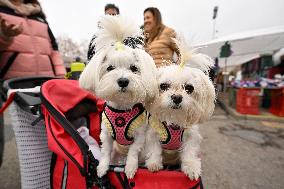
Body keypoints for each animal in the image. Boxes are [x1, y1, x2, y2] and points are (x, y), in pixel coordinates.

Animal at [79, 15, 158, 179]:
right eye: (110, 68)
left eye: (134, 68)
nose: (123, 81)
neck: (121, 108)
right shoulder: (106, 135)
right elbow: (105, 152)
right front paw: (102, 168)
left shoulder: (139, 135)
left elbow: (133, 152)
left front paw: (130, 168)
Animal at [144, 42, 215, 181]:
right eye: (163, 86)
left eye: (189, 88)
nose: (177, 97)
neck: (174, 119)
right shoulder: (153, 134)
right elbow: (154, 150)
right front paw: (154, 164)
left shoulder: (191, 137)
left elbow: (189, 153)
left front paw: (191, 167)